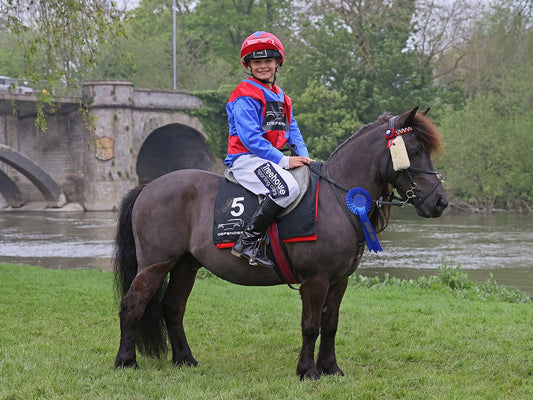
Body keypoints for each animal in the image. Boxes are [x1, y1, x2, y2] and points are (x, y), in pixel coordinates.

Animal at [114, 108, 446, 380]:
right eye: (414, 151)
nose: (440, 202)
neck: (335, 199)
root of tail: (148, 186)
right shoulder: (316, 280)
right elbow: (311, 325)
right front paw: (308, 371)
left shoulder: (339, 281)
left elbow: (331, 324)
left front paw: (331, 368)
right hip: (155, 264)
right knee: (132, 305)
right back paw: (126, 361)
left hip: (185, 265)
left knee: (173, 308)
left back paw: (185, 359)